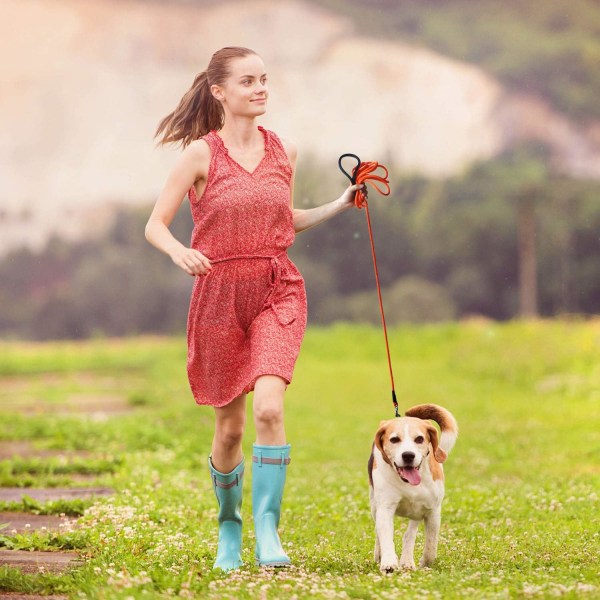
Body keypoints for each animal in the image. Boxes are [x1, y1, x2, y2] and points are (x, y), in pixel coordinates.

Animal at [366, 404, 460, 572]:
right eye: (394, 439)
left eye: (419, 439)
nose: (408, 455)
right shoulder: (385, 507)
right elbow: (386, 537)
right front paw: (389, 562)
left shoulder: (433, 511)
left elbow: (430, 546)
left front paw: (425, 563)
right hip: (374, 505)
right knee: (379, 533)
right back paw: (380, 555)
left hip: (417, 512)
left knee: (409, 534)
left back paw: (407, 561)